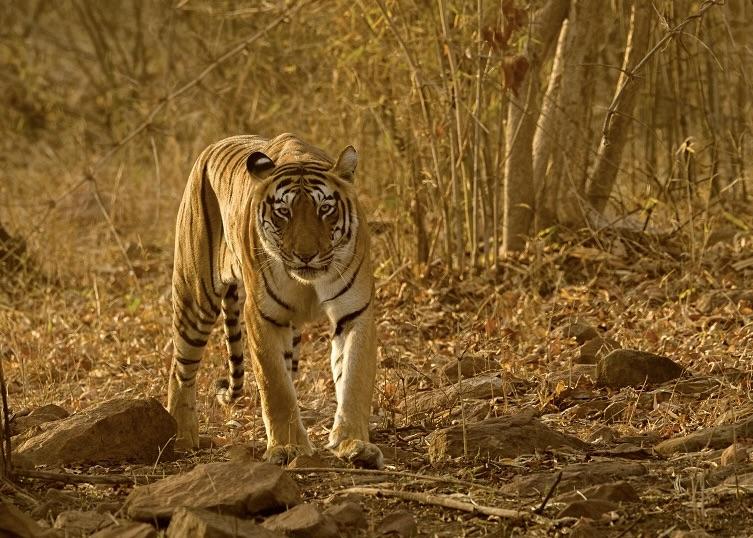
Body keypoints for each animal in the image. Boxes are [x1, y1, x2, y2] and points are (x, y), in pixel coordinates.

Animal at [168, 132, 384, 466]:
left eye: (325, 209)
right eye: (284, 212)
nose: (306, 255)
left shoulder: (355, 312)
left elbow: (354, 378)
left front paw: (354, 444)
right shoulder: (262, 315)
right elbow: (275, 387)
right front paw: (286, 447)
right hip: (195, 295)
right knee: (180, 369)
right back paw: (181, 437)